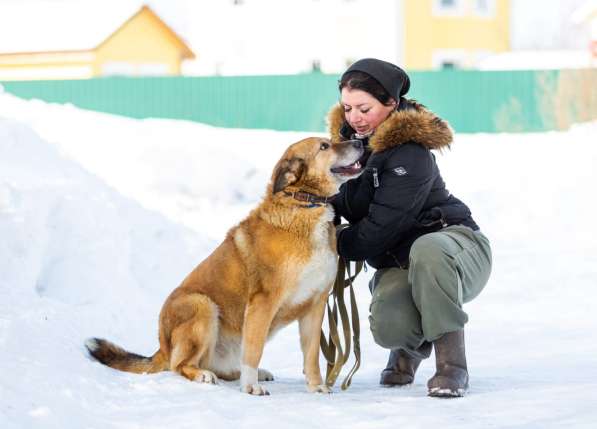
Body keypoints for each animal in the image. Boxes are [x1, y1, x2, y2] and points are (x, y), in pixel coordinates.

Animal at [85, 137, 364, 394]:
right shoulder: (263, 303)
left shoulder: (315, 305)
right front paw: (250, 388)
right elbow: (254, 351)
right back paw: (204, 375)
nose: (360, 142)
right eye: (324, 146)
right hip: (203, 306)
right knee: (180, 365)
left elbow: (312, 355)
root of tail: (162, 347)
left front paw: (316, 387)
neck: (305, 204)